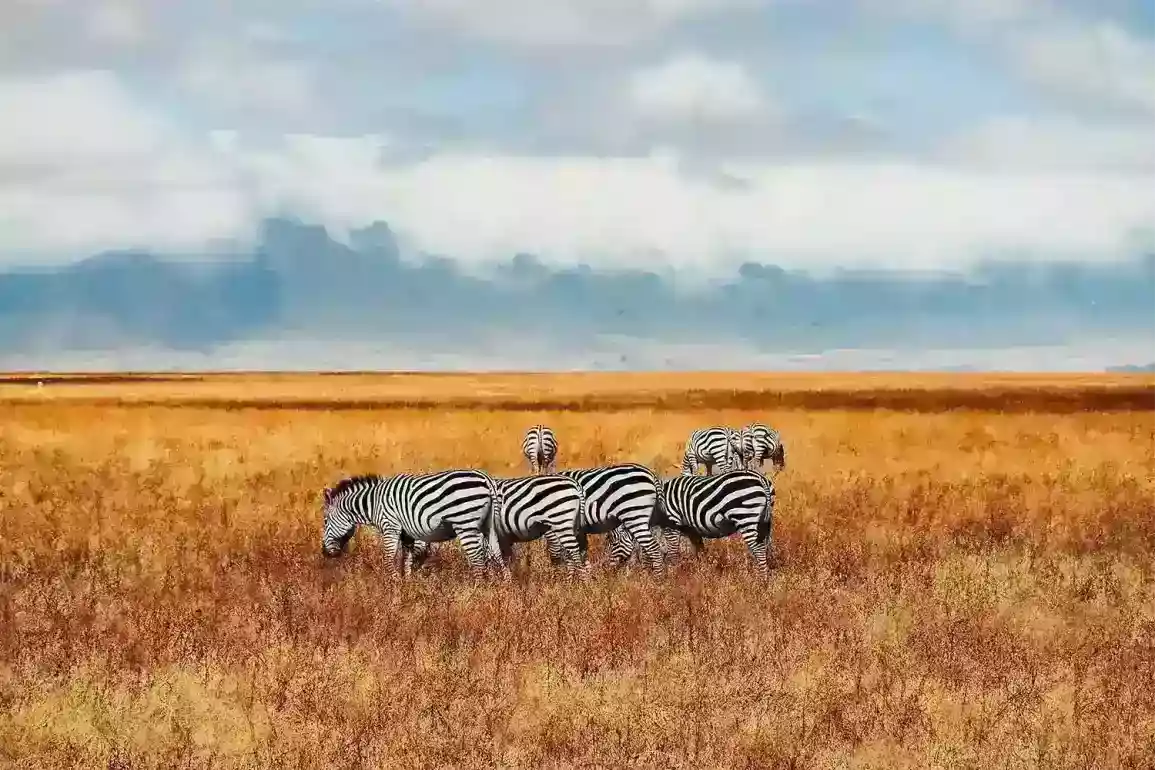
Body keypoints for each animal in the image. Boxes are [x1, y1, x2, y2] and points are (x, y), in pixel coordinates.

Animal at [319, 469, 503, 579]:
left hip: (465, 524)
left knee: (477, 559)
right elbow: (406, 560)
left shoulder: (390, 527)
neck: (374, 502)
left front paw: (393, 585)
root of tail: (486, 478)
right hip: (489, 525)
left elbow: (388, 559)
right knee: (496, 552)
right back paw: (502, 588)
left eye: (325, 521)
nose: (325, 553)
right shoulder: (406, 533)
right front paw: (406, 585)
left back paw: (476, 589)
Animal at [606, 469, 776, 573]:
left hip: (745, 516)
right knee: (766, 547)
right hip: (764, 522)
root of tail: (760, 478)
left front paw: (675, 574)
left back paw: (761, 580)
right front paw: (704, 573)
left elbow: (673, 552)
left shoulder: (672, 525)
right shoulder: (691, 530)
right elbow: (700, 551)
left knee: (759, 548)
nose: (607, 569)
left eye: (613, 542)